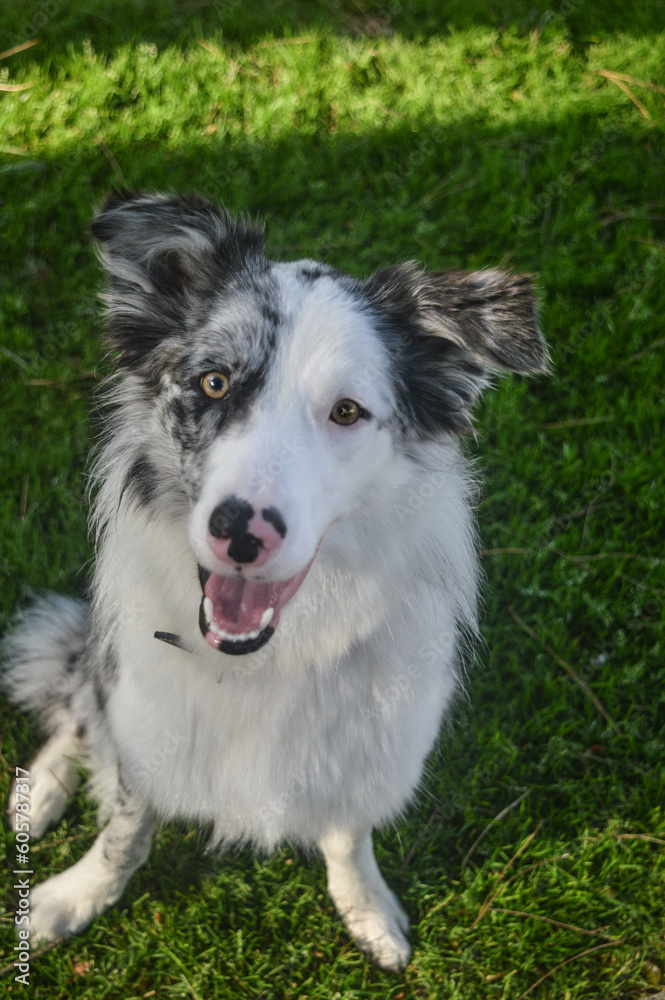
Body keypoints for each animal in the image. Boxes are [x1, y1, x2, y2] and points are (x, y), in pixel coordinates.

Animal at [2, 191, 544, 972]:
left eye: (347, 411)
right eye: (214, 382)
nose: (240, 529)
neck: (263, 659)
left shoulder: (367, 744)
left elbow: (348, 837)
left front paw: (367, 910)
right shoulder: (143, 720)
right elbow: (122, 833)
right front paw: (71, 898)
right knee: (75, 707)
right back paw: (37, 791)